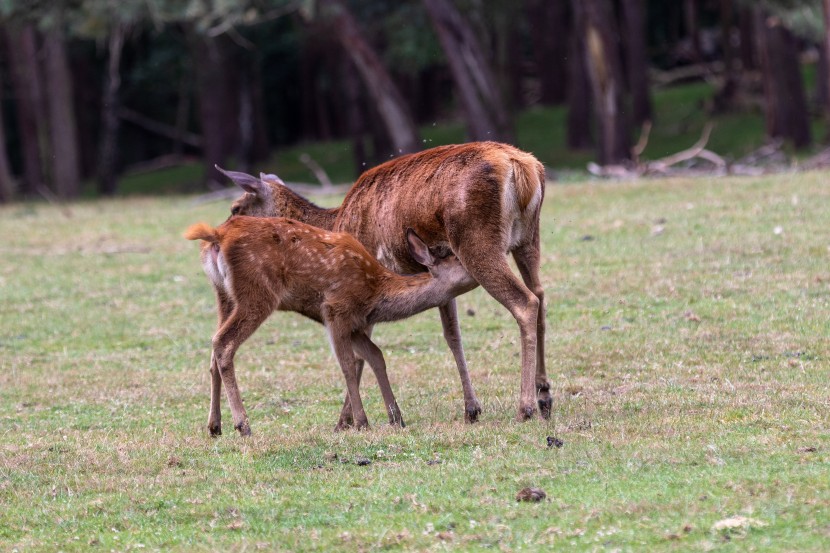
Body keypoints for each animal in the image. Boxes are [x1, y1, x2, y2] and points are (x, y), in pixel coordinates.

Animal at [219, 140, 552, 420]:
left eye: (236, 208)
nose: (224, 232)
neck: (335, 221)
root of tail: (524, 169)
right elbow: (452, 335)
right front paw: (471, 408)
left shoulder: (363, 279)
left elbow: (359, 351)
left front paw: (346, 420)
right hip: (528, 240)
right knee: (540, 296)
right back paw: (545, 395)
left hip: (477, 242)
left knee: (524, 302)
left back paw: (525, 406)